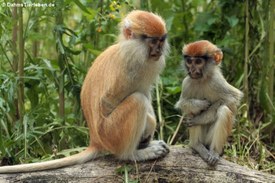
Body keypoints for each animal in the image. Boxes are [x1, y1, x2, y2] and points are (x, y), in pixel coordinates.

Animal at [0, 10, 170, 173]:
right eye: (153, 41)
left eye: (161, 40)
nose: (159, 50)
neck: (131, 48)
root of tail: (95, 140)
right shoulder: (128, 68)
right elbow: (107, 103)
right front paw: (150, 126)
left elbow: (145, 92)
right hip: (111, 132)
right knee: (137, 101)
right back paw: (131, 153)